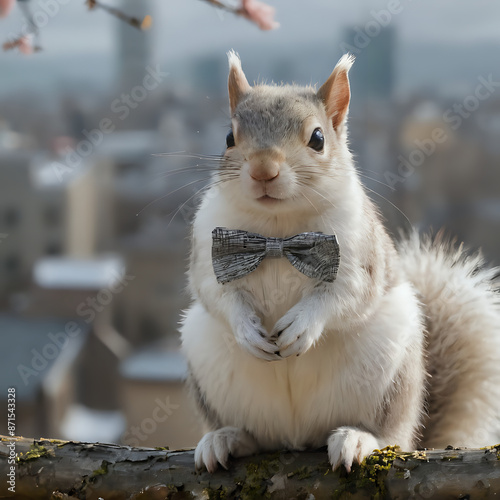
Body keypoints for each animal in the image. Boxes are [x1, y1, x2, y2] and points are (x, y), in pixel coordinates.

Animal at [180, 50, 500, 472]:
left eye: (317, 139)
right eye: (229, 137)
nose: (263, 170)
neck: (278, 233)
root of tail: (297, 439)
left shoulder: (360, 257)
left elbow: (344, 296)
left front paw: (303, 324)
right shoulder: (209, 249)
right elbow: (217, 294)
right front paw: (246, 328)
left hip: (390, 378)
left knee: (388, 433)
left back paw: (357, 439)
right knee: (257, 436)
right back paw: (227, 439)